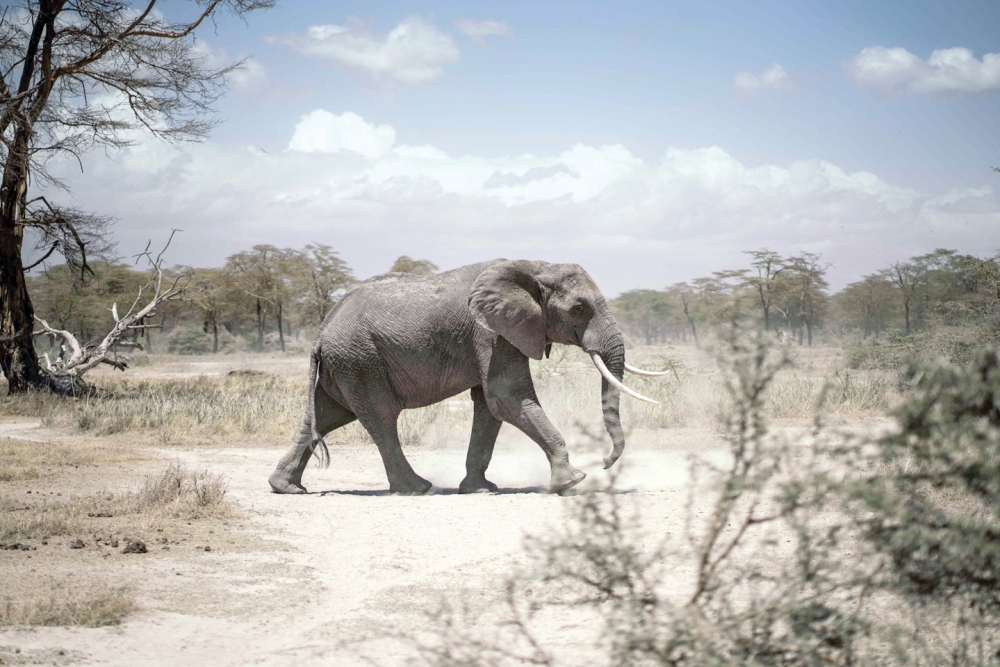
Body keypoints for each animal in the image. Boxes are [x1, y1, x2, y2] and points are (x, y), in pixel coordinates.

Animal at [268, 259, 667, 495]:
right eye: (579, 309)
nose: (606, 463)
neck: (533, 267)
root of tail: (320, 333)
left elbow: (489, 407)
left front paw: (480, 489)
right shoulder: (492, 333)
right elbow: (506, 398)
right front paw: (573, 482)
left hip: (345, 364)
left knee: (325, 416)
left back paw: (287, 488)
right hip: (360, 360)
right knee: (380, 419)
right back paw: (418, 488)